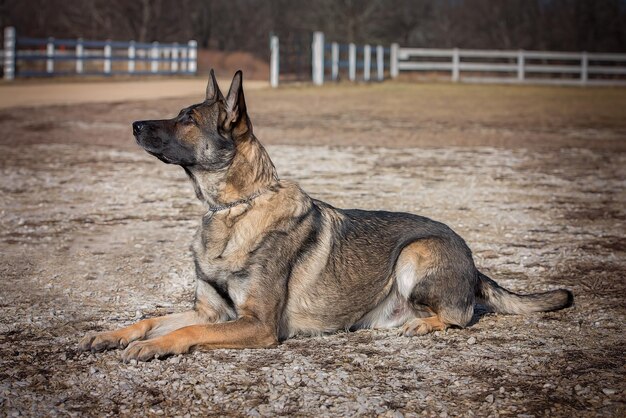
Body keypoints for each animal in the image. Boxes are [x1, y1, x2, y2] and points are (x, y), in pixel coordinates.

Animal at [78, 70, 572, 360]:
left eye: (187, 119)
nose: (134, 125)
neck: (234, 209)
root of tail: (471, 259)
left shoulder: (256, 325)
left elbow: (181, 332)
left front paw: (152, 347)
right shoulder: (212, 312)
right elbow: (151, 319)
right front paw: (111, 335)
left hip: (414, 254)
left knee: (459, 316)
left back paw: (424, 324)